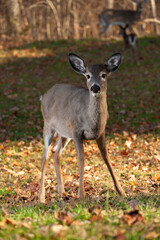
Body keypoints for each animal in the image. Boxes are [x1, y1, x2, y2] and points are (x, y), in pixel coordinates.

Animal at [38, 52, 125, 202]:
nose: (95, 87)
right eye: (88, 75)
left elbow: (106, 157)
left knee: (55, 153)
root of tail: (44, 96)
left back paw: (62, 192)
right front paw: (81, 195)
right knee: (45, 155)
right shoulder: (77, 131)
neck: (92, 122)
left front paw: (121, 191)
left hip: (64, 133)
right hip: (48, 126)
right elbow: (81, 160)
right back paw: (41, 197)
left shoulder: (101, 132)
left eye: (103, 74)